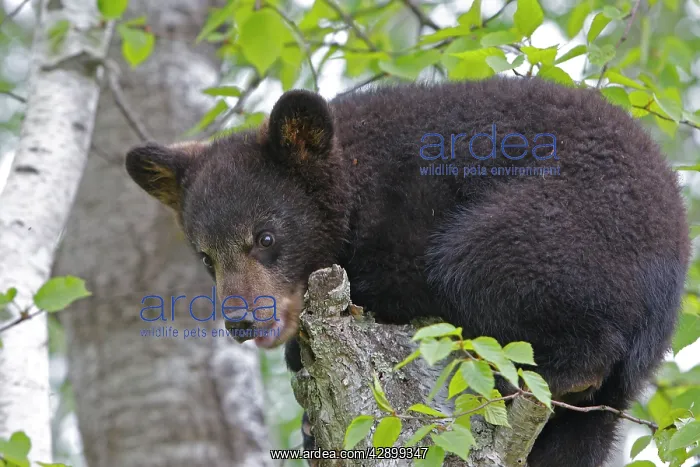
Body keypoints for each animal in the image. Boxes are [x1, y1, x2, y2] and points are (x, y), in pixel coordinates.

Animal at [125, 77, 690, 467]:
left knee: (480, 267)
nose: (243, 320)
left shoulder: (408, 207)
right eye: (206, 257)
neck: (354, 178)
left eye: (265, 238)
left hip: (564, 227)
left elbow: (398, 276)